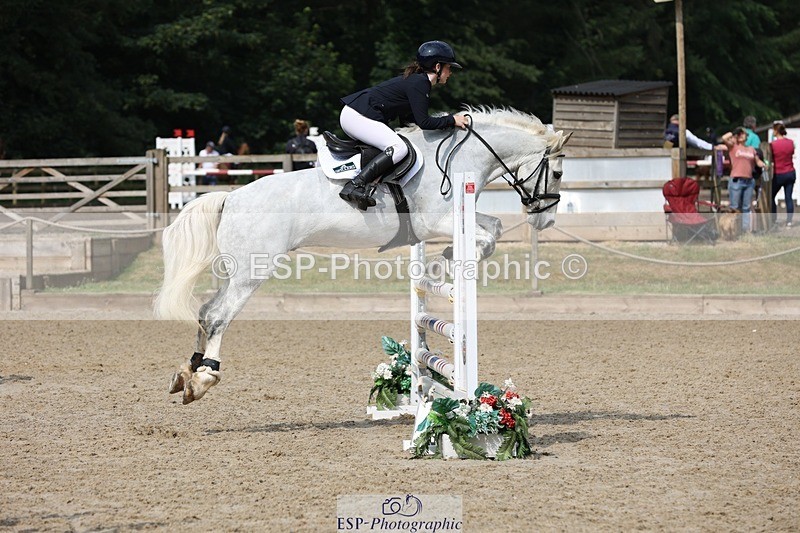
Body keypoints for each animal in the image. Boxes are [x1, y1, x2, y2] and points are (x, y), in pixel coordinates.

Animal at [155, 107, 570, 404]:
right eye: (559, 173)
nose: (546, 220)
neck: (459, 157)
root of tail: (232, 197)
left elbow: (494, 227)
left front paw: (448, 257)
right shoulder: (435, 221)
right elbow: (485, 237)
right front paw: (449, 260)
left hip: (236, 272)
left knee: (206, 311)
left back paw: (186, 375)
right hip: (251, 273)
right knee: (219, 317)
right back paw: (205, 378)